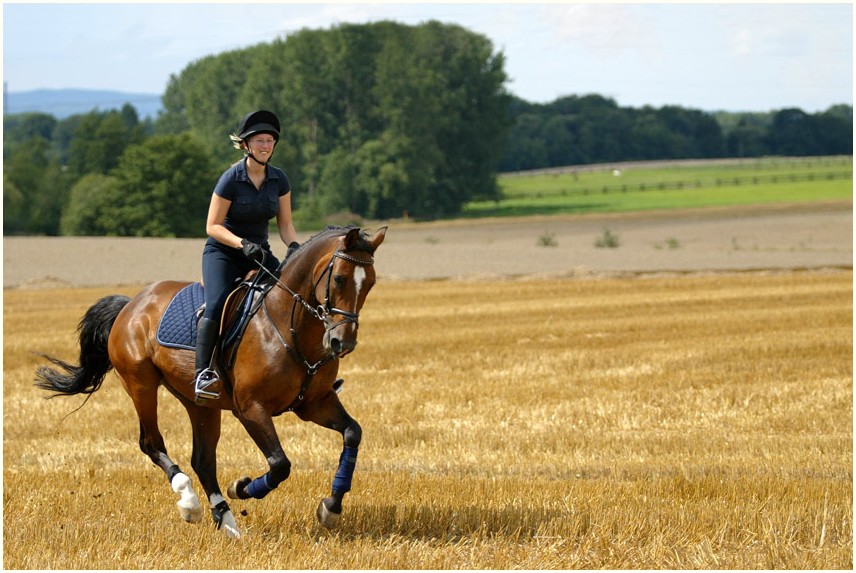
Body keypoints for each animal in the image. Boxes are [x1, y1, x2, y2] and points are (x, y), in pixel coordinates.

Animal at [34, 227, 388, 536]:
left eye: (370, 283)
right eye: (339, 278)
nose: (343, 342)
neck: (291, 326)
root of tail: (131, 303)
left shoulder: (315, 403)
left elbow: (352, 433)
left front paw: (331, 507)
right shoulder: (250, 409)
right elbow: (280, 464)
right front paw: (242, 487)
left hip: (200, 403)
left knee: (202, 460)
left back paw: (228, 523)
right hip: (140, 384)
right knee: (152, 443)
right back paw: (189, 501)